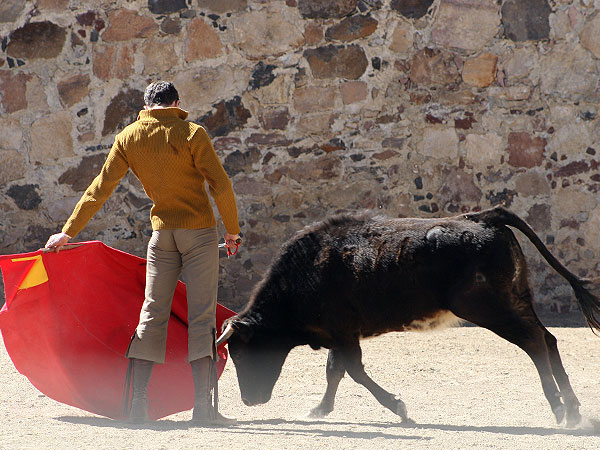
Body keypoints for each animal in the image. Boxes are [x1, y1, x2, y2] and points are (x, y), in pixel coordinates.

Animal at [217, 207, 600, 426]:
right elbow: (335, 371)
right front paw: (319, 410)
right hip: (516, 299)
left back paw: (559, 410)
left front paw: (398, 408)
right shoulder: (340, 334)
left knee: (534, 342)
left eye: (241, 354)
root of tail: (482, 218)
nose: (249, 400)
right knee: (548, 339)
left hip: (489, 307)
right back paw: (574, 410)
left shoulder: (342, 332)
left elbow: (353, 370)